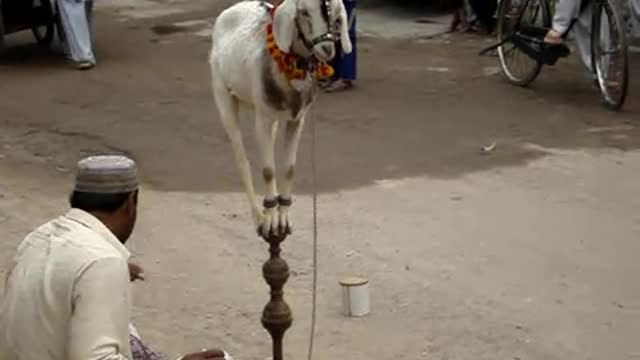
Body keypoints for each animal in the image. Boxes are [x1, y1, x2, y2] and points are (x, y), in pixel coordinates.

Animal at [209, 0, 350, 238]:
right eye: (303, 12)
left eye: (334, 13)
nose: (327, 49)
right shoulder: (263, 118)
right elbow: (268, 171)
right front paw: (270, 222)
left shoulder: (296, 120)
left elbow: (288, 168)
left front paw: (282, 218)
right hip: (223, 96)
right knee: (242, 160)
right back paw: (259, 217)